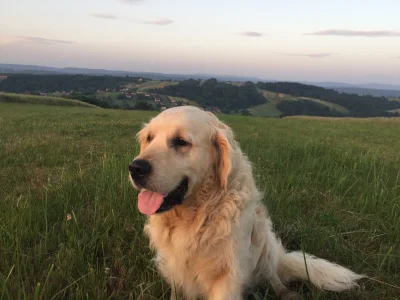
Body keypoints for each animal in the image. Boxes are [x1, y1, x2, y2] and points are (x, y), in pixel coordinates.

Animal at [129, 106, 362, 298]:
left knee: (273, 277)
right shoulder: (176, 272)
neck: (197, 215)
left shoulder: (228, 276)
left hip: (265, 246)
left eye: (181, 141)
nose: (136, 168)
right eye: (149, 138)